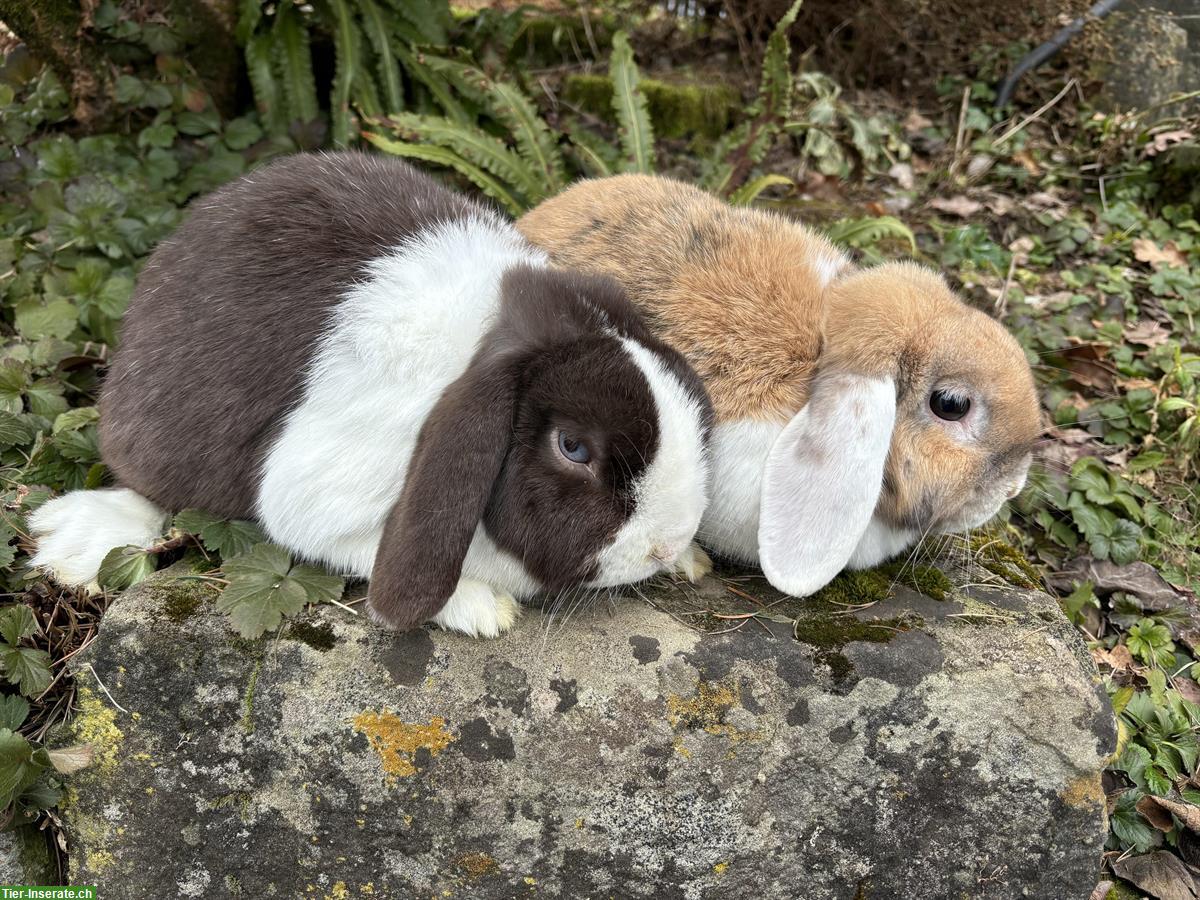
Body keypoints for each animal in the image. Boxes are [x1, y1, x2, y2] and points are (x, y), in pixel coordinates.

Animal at [28, 154, 710, 638]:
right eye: (573, 448)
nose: (664, 545)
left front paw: (692, 562)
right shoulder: (318, 498)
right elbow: (355, 548)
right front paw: (480, 608)